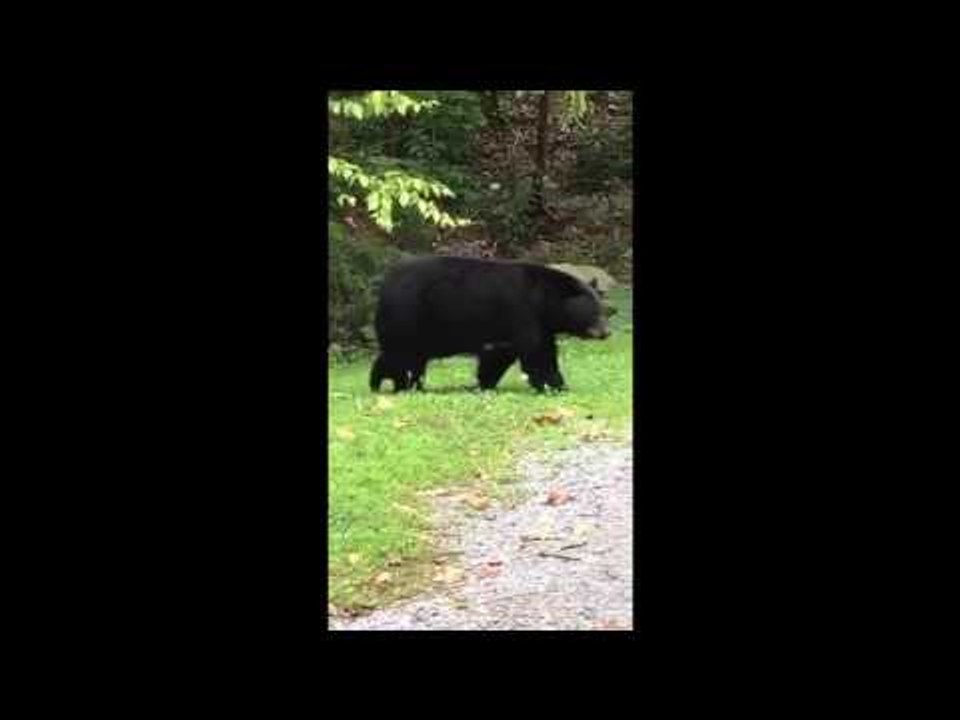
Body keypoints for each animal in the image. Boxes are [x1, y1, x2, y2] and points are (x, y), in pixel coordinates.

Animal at [369, 255, 610, 393]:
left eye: (603, 310)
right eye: (595, 312)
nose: (606, 332)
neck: (542, 299)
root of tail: (385, 285)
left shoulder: (537, 324)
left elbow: (507, 355)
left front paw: (483, 384)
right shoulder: (521, 313)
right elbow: (535, 353)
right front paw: (553, 385)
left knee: (408, 359)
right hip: (410, 318)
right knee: (401, 358)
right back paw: (391, 385)